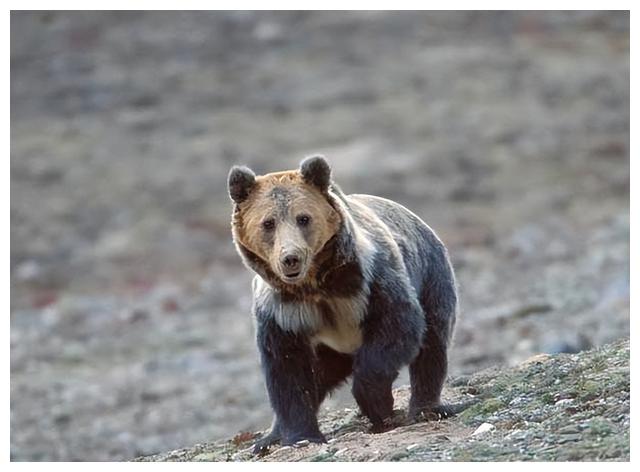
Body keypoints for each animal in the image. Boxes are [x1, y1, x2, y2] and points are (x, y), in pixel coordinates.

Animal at [227, 155, 458, 454]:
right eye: (268, 223)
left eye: (303, 218)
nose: (290, 258)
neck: (315, 285)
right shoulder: (281, 312)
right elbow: (287, 370)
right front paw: (300, 435)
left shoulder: (370, 281)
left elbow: (398, 324)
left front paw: (379, 407)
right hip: (330, 350)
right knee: (320, 376)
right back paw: (269, 438)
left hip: (431, 276)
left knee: (432, 343)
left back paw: (426, 408)